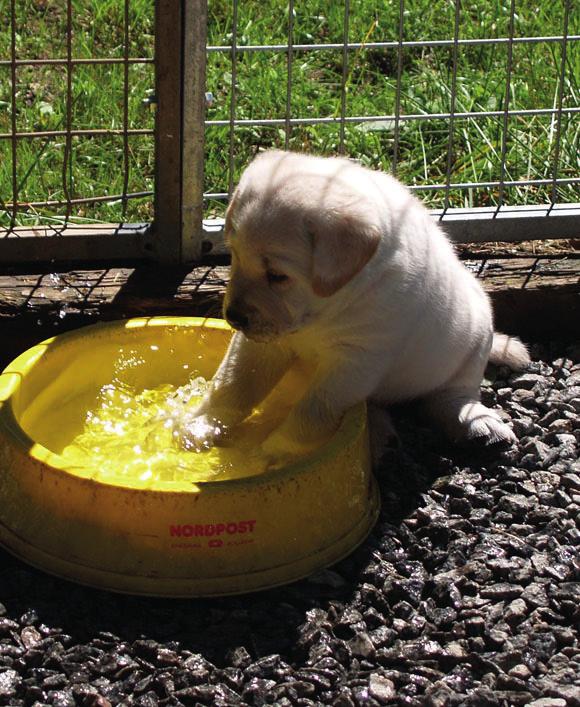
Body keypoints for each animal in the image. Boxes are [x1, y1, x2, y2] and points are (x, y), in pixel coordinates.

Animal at [182, 149, 532, 460]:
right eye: (234, 256)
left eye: (278, 276)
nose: (234, 317)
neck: (324, 310)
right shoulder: (262, 343)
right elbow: (233, 385)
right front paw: (198, 428)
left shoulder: (357, 360)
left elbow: (312, 411)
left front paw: (274, 451)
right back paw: (379, 435)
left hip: (473, 342)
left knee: (450, 396)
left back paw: (476, 424)